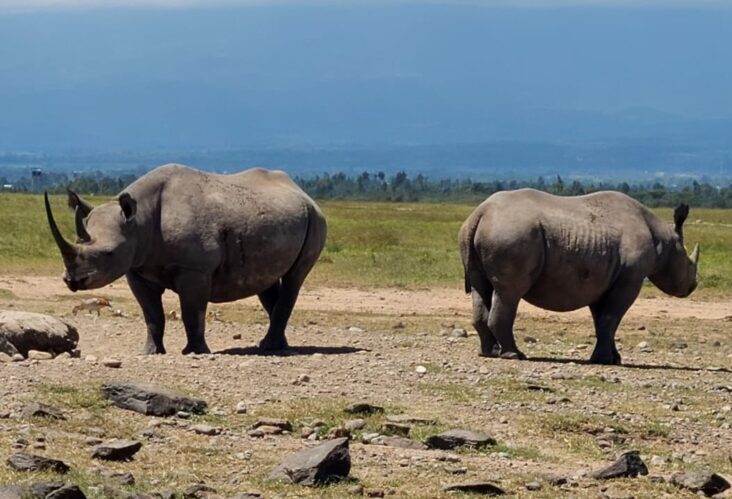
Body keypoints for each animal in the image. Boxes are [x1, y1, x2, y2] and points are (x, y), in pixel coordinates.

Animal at [45, 164, 327, 355]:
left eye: (108, 253)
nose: (73, 281)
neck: (139, 219)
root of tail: (301, 192)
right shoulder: (136, 267)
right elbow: (152, 314)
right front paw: (151, 352)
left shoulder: (195, 269)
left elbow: (192, 311)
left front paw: (194, 352)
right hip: (280, 218)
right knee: (265, 281)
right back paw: (274, 347)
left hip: (316, 218)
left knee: (295, 278)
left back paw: (269, 347)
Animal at [459, 189, 699, 365]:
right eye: (689, 264)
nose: (693, 286)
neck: (664, 241)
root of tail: (480, 213)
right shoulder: (630, 278)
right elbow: (611, 317)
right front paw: (604, 360)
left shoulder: (601, 279)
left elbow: (602, 320)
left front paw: (613, 359)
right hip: (512, 233)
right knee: (509, 292)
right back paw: (515, 355)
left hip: (481, 234)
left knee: (482, 288)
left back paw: (490, 352)